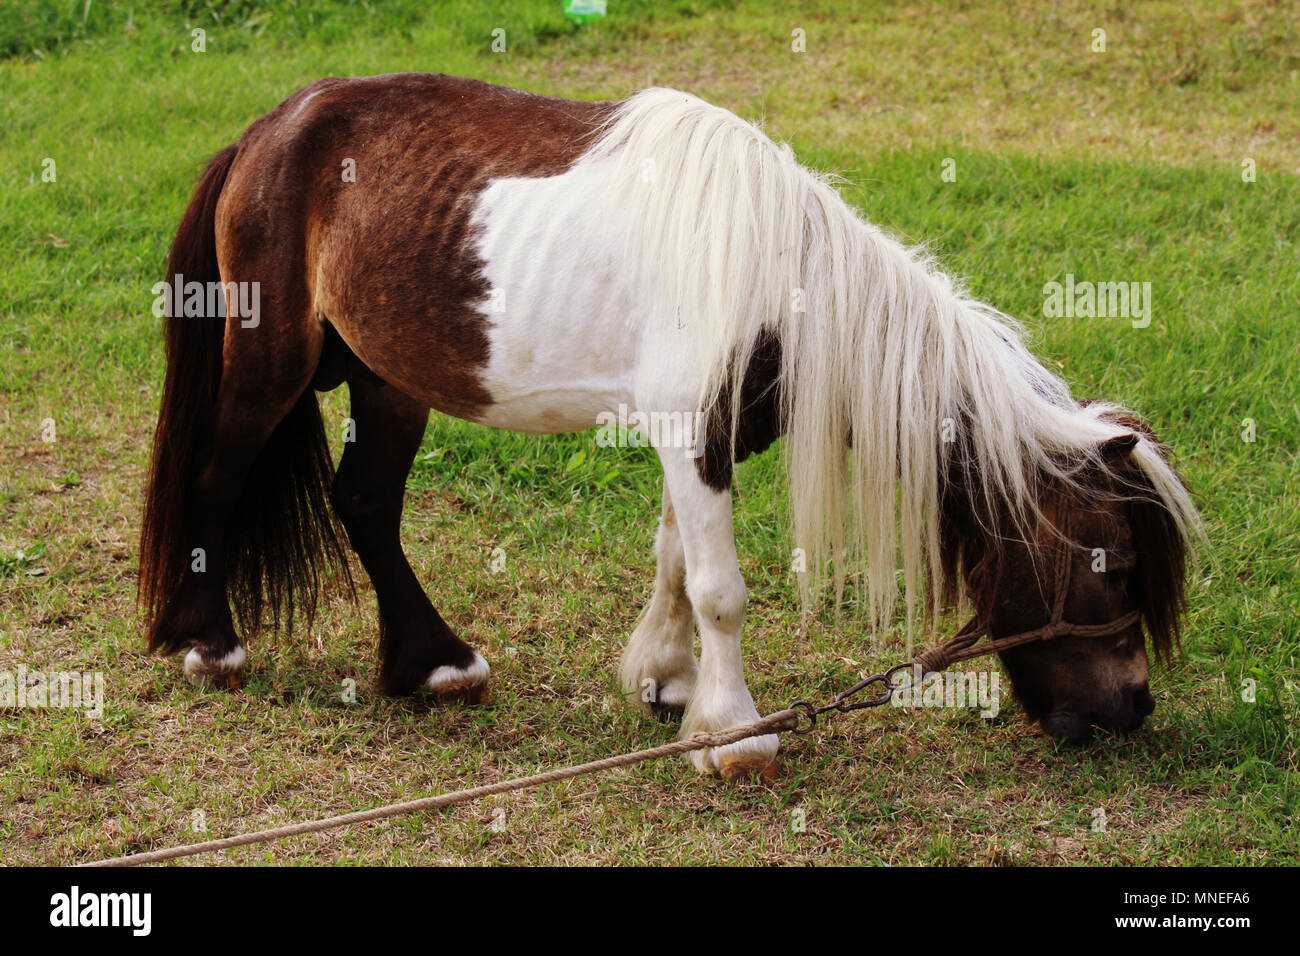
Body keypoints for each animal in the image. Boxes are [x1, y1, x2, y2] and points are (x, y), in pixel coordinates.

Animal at [139, 74, 1196, 780]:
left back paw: (435, 664)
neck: (777, 277)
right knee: (221, 480)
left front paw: (668, 684)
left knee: (364, 505)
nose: (1132, 707)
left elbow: (675, 561)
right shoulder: (696, 437)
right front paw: (735, 735)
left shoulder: (692, 443)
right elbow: (722, 589)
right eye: (1113, 566)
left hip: (388, 378)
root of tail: (267, 132)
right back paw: (211, 646)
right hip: (270, 360)